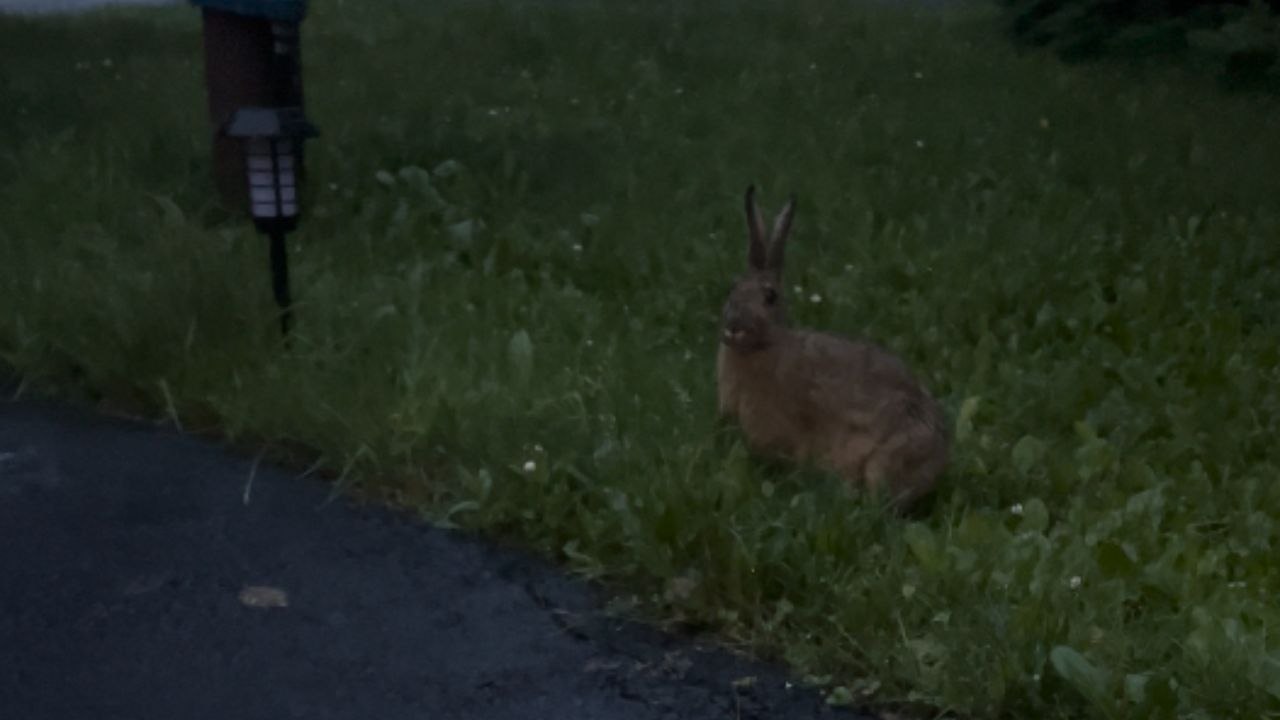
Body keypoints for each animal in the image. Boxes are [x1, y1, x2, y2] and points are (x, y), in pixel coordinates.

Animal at [715, 186, 950, 512]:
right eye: (732, 289)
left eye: (770, 297)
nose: (734, 326)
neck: (764, 345)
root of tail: (939, 460)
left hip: (885, 461)